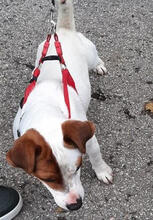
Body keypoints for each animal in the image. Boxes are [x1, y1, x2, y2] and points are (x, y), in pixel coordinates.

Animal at [6, 0, 112, 211]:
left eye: (78, 167)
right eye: (47, 179)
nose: (75, 205)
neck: (44, 108)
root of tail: (61, 31)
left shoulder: (89, 138)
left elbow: (96, 155)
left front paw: (102, 170)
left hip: (90, 54)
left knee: (96, 59)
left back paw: (99, 66)